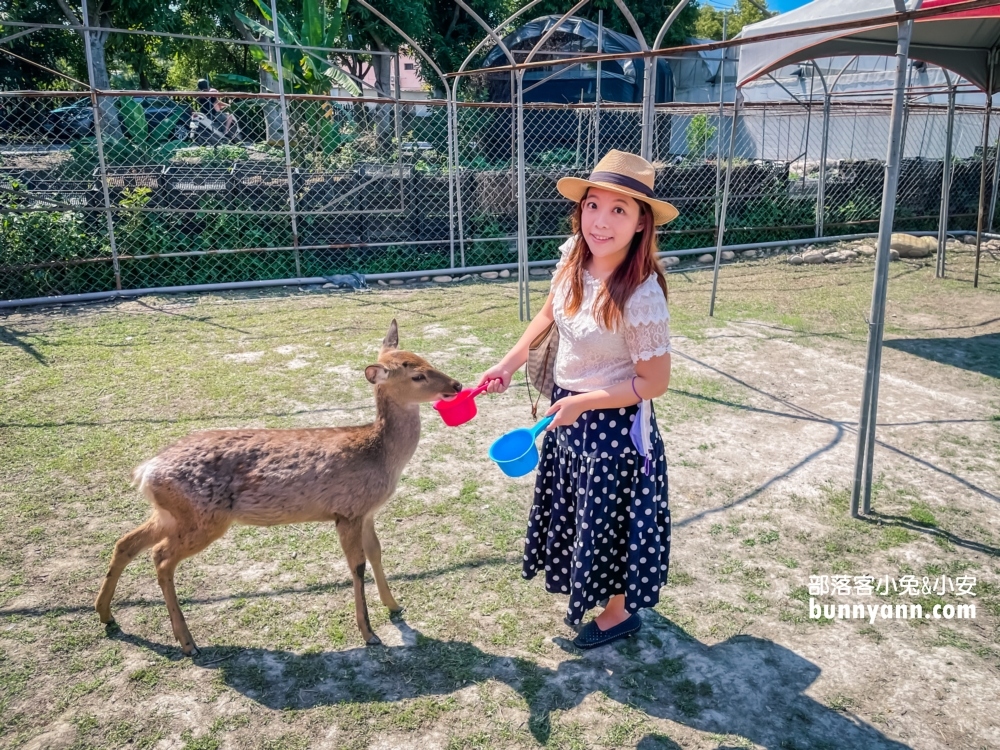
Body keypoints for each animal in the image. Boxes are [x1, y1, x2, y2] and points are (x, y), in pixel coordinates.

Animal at [94, 324, 460, 656]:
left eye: (426, 359)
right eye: (417, 375)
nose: (456, 385)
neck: (380, 455)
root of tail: (146, 471)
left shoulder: (367, 511)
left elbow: (377, 553)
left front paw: (394, 605)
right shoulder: (347, 511)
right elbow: (356, 566)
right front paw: (369, 633)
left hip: (172, 513)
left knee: (126, 542)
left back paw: (106, 614)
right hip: (204, 518)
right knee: (161, 556)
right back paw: (188, 643)